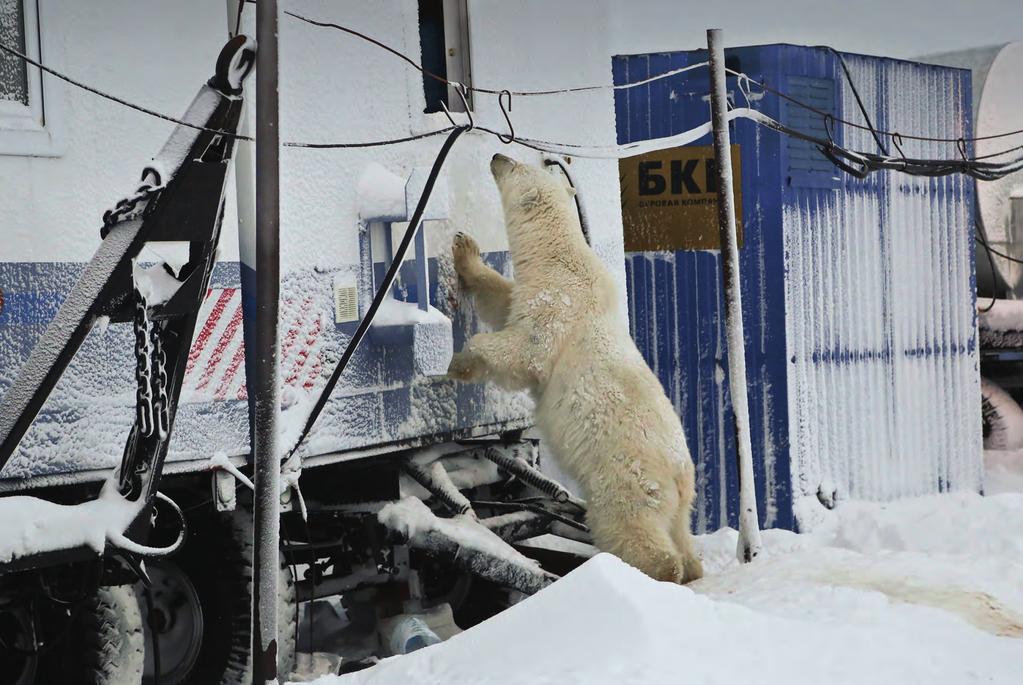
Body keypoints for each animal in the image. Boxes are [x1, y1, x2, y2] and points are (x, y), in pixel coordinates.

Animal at [450, 155, 703, 584]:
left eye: (516, 165)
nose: (497, 156)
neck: (561, 258)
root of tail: (681, 476)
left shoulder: (559, 306)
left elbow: (525, 352)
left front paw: (459, 363)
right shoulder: (533, 291)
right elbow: (501, 300)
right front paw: (464, 250)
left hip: (625, 474)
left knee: (631, 524)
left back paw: (649, 569)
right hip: (674, 500)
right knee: (679, 531)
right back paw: (692, 566)